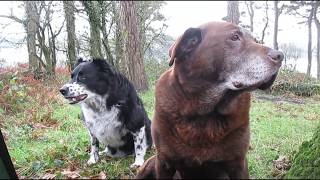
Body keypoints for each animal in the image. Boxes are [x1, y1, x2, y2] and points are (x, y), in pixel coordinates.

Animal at [136, 21, 284, 179]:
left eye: (255, 40)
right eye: (235, 37)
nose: (280, 56)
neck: (205, 112)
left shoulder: (238, 163)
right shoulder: (164, 162)